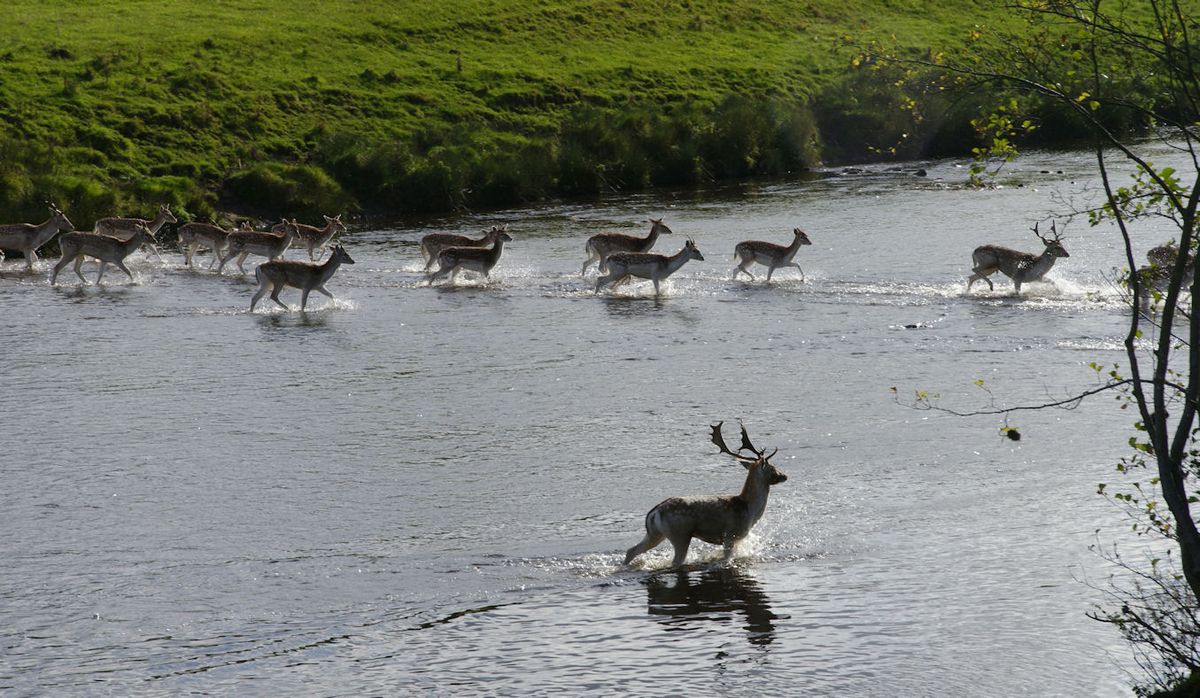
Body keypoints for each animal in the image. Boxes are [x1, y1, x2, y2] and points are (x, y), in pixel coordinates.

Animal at [624, 422, 792, 568]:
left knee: (631, 550)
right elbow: (726, 558)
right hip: (680, 535)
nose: (784, 475)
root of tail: (654, 512)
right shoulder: (730, 535)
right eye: (772, 467)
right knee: (675, 560)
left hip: (655, 533)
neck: (749, 509)